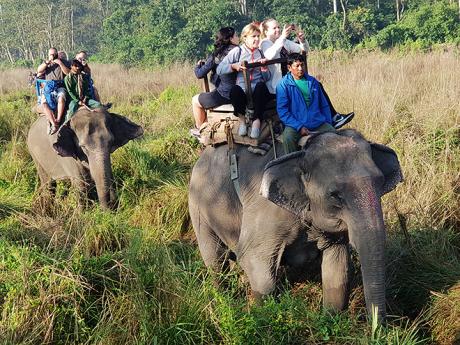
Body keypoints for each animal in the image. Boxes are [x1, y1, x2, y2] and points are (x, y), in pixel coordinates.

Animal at [188, 129, 402, 320]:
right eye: (335, 195)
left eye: (380, 183)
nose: (377, 330)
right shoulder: (266, 211)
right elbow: (254, 260)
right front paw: (262, 317)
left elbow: (337, 268)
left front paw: (330, 318)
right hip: (198, 206)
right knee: (215, 259)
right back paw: (226, 301)